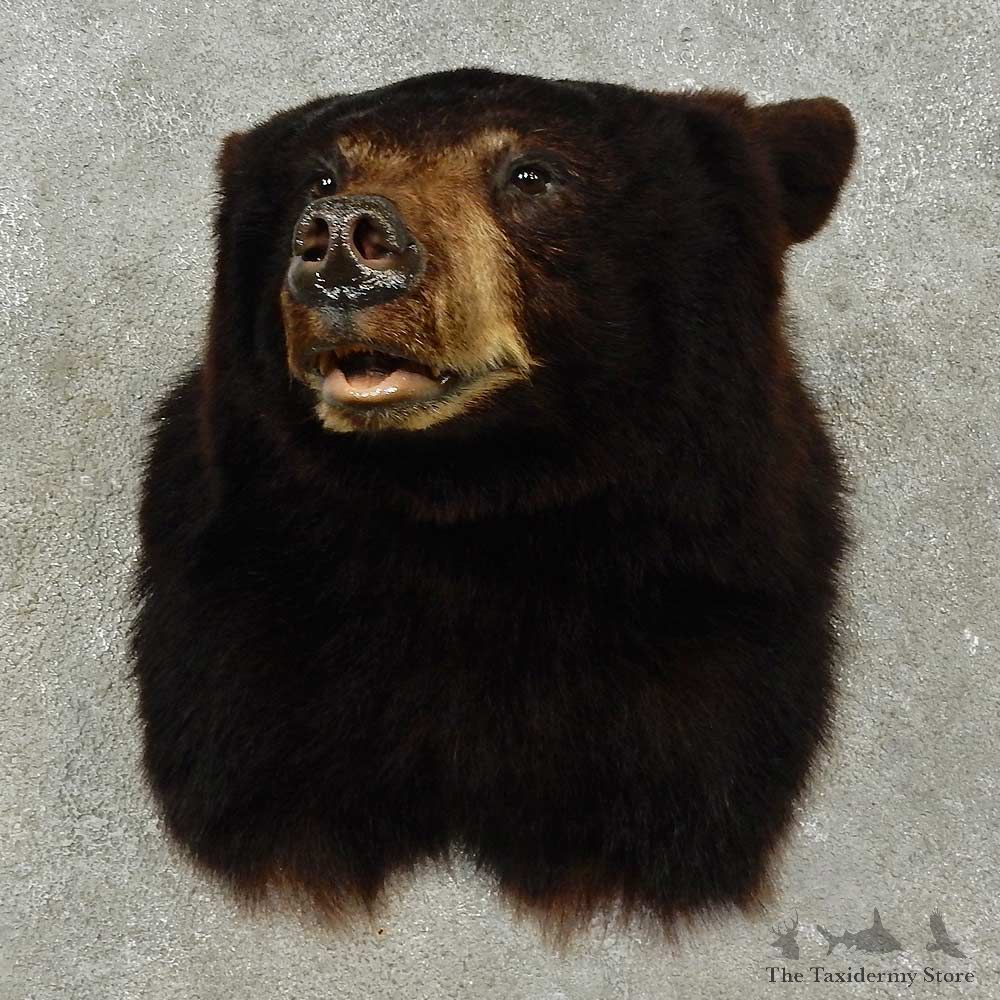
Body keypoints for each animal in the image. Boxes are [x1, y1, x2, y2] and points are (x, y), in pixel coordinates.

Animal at [131, 68, 856, 937]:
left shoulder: (708, 631)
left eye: (532, 175)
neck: (468, 520)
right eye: (322, 178)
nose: (339, 236)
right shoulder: (243, 635)